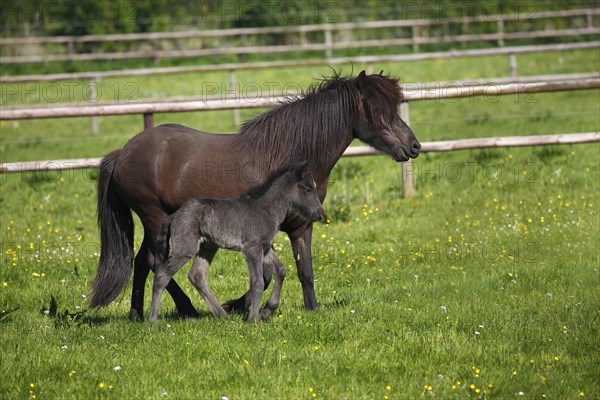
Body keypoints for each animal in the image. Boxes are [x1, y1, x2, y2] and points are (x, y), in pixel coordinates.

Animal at [148, 161, 324, 324]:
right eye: (307, 189)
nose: (320, 214)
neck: (266, 209)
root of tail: (174, 216)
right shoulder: (252, 248)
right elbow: (257, 282)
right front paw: (253, 319)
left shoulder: (265, 247)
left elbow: (281, 270)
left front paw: (267, 311)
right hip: (186, 248)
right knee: (162, 275)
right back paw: (152, 319)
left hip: (208, 246)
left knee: (197, 275)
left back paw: (223, 316)